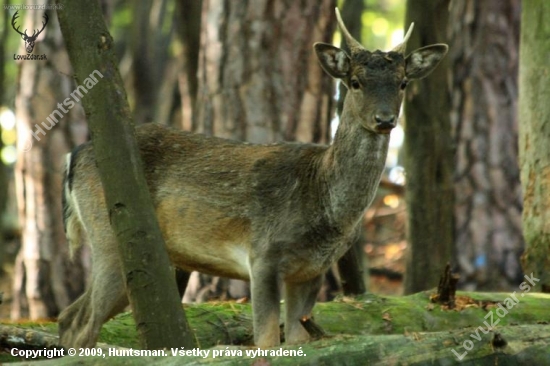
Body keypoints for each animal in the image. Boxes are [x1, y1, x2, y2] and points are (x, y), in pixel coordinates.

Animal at [59, 8, 448, 348]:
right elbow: (265, 340)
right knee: (81, 323)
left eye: (402, 83)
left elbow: (297, 340)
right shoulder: (263, 253)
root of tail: (74, 156)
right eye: (354, 82)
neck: (324, 204)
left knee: (67, 317)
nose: (385, 120)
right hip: (111, 235)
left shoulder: (312, 272)